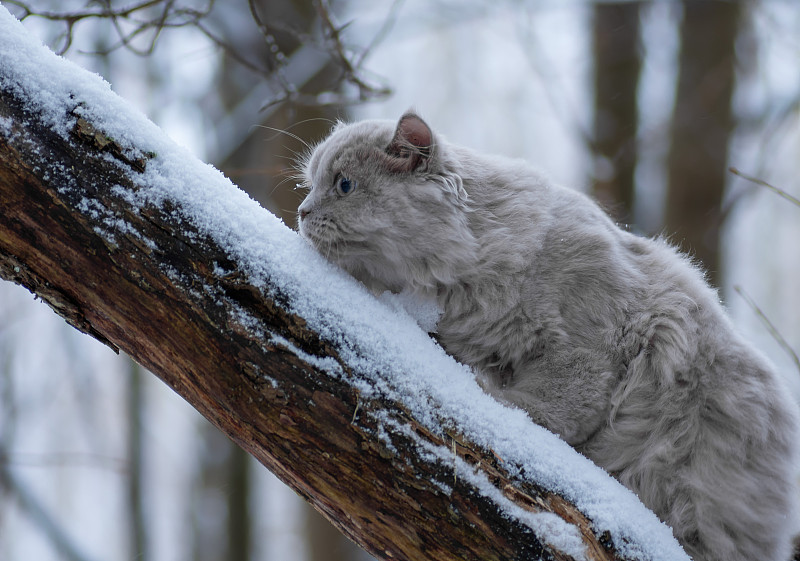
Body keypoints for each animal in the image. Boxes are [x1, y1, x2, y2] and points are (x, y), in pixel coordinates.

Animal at [296, 110, 800, 560]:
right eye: (312, 184)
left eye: (343, 186)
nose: (301, 212)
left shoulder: (587, 351)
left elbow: (543, 409)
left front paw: (487, 392)